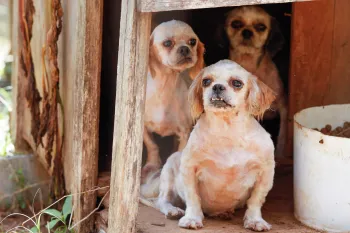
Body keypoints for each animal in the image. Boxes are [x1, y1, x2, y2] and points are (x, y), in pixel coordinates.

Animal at [140, 60, 276, 231]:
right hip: (169, 175)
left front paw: (255, 221)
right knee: (161, 201)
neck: (227, 131)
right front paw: (192, 219)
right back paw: (173, 211)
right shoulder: (190, 169)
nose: (217, 86)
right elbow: (193, 198)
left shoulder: (265, 173)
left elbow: (256, 201)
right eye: (206, 81)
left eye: (237, 83)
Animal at [142, 19, 205, 180]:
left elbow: (178, 153)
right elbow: (152, 146)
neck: (164, 88)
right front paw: (152, 165)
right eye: (167, 43)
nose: (184, 49)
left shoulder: (184, 132)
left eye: (192, 41)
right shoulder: (143, 127)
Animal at [224, 6, 288, 157]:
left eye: (261, 27)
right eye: (236, 24)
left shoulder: (283, 108)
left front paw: (280, 154)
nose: (247, 32)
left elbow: (283, 135)